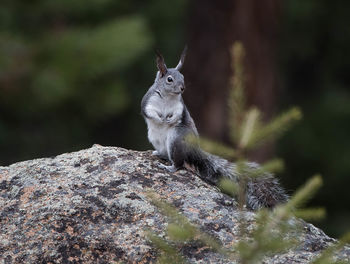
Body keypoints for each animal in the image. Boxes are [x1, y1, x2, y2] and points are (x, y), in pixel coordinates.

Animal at [141, 48, 288, 210]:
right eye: (169, 79)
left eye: (183, 77)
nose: (182, 88)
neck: (168, 97)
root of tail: (194, 150)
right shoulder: (148, 102)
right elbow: (149, 112)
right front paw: (160, 119)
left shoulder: (180, 107)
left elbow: (178, 115)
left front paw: (169, 120)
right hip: (155, 138)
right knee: (169, 156)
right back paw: (158, 154)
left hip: (176, 139)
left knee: (179, 163)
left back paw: (169, 167)